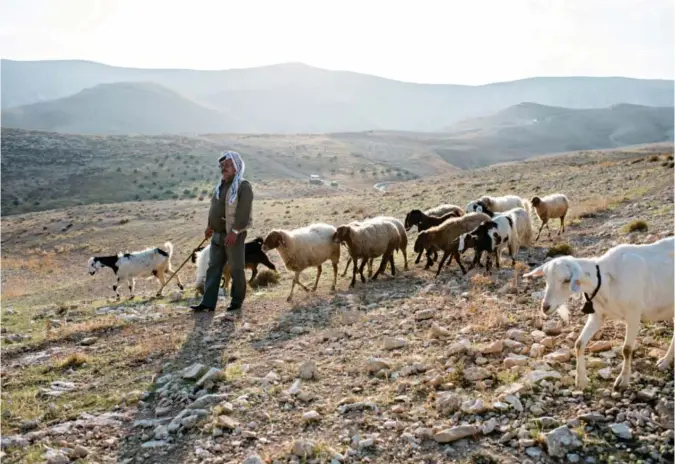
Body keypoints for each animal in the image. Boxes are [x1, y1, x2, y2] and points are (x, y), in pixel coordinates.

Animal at [524, 237, 672, 390]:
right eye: (546, 279)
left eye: (566, 280)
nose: (545, 307)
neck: (606, 280)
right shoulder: (597, 315)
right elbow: (579, 343)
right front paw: (581, 380)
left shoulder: (634, 314)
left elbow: (626, 349)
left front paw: (623, 380)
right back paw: (664, 362)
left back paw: (664, 362)